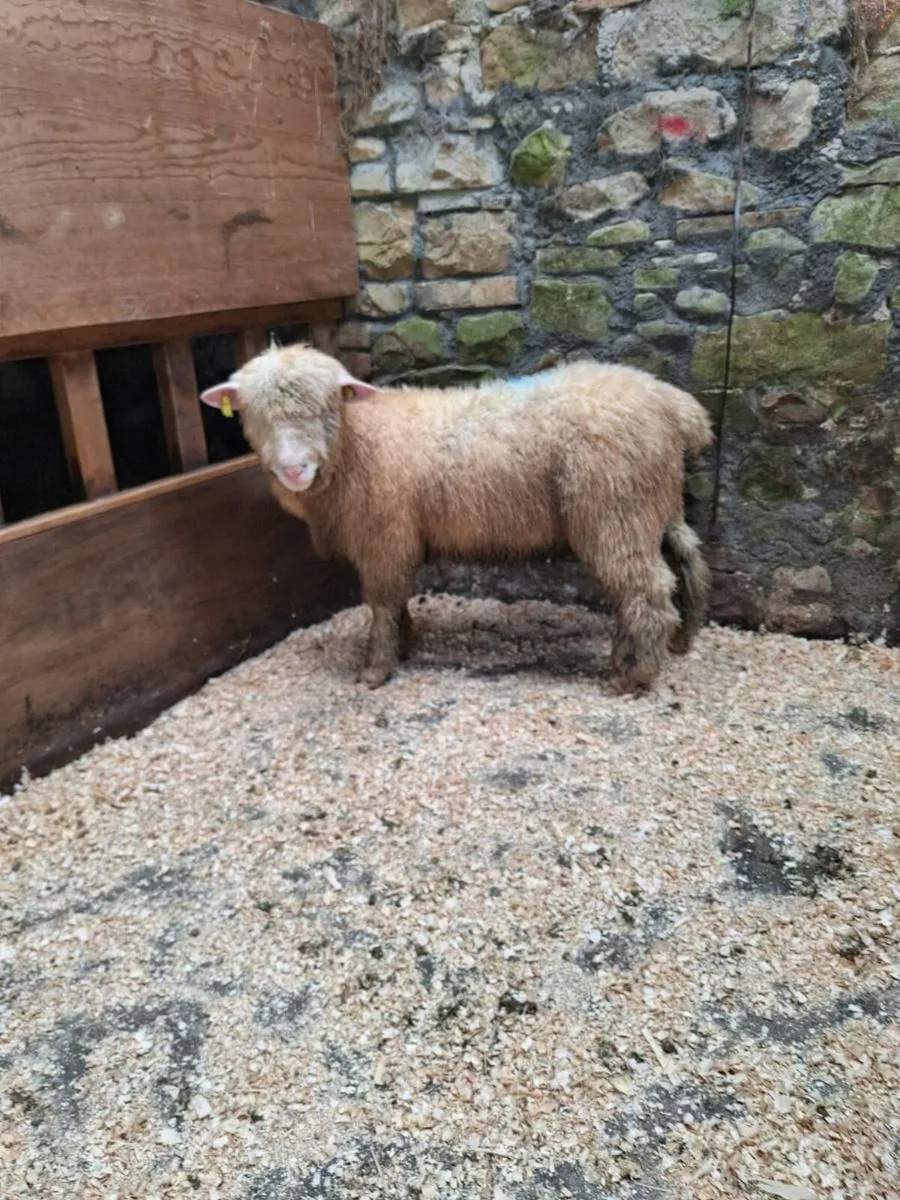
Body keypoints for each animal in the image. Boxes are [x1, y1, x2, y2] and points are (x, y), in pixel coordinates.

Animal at [201, 345, 713, 691]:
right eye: (250, 412)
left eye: (330, 404)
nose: (294, 469)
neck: (358, 441)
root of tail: (673, 405)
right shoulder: (393, 541)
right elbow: (396, 601)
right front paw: (405, 642)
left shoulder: (384, 537)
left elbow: (382, 602)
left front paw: (377, 667)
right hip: (654, 507)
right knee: (683, 563)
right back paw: (666, 646)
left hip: (615, 511)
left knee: (646, 592)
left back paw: (633, 676)